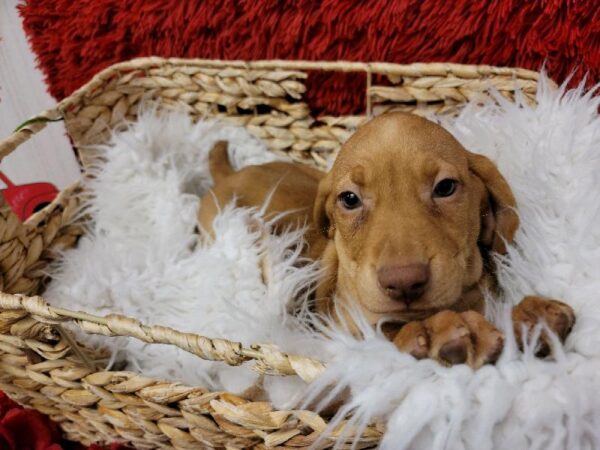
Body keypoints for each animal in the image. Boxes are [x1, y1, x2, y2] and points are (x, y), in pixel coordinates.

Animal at [199, 111, 576, 366]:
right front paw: (439, 331)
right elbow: (384, 333)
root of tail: (229, 173)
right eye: (350, 199)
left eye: (445, 187)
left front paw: (528, 315)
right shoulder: (346, 329)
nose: (404, 282)